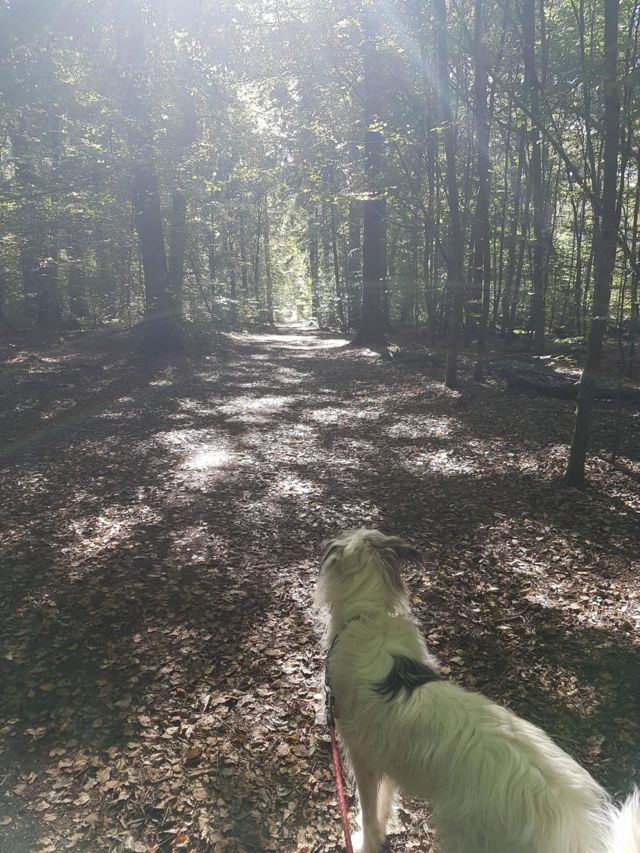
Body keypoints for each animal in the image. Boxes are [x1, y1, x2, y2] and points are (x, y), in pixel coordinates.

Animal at [316, 529, 640, 853]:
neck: (368, 616)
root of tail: (567, 822)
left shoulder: (362, 759)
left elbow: (369, 813)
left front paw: (365, 842)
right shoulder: (384, 759)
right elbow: (384, 805)